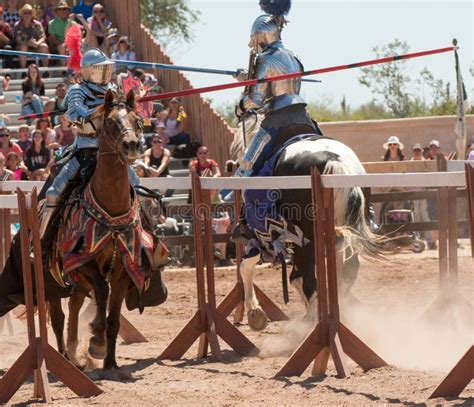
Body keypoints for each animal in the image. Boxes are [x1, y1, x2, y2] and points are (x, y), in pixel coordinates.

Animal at [48, 89, 145, 380]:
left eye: (137, 121)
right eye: (111, 122)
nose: (132, 145)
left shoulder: (124, 271)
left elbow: (114, 319)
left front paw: (111, 362)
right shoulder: (85, 262)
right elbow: (102, 292)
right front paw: (97, 342)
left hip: (78, 283)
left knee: (73, 306)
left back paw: (73, 350)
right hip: (54, 281)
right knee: (57, 318)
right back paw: (65, 358)